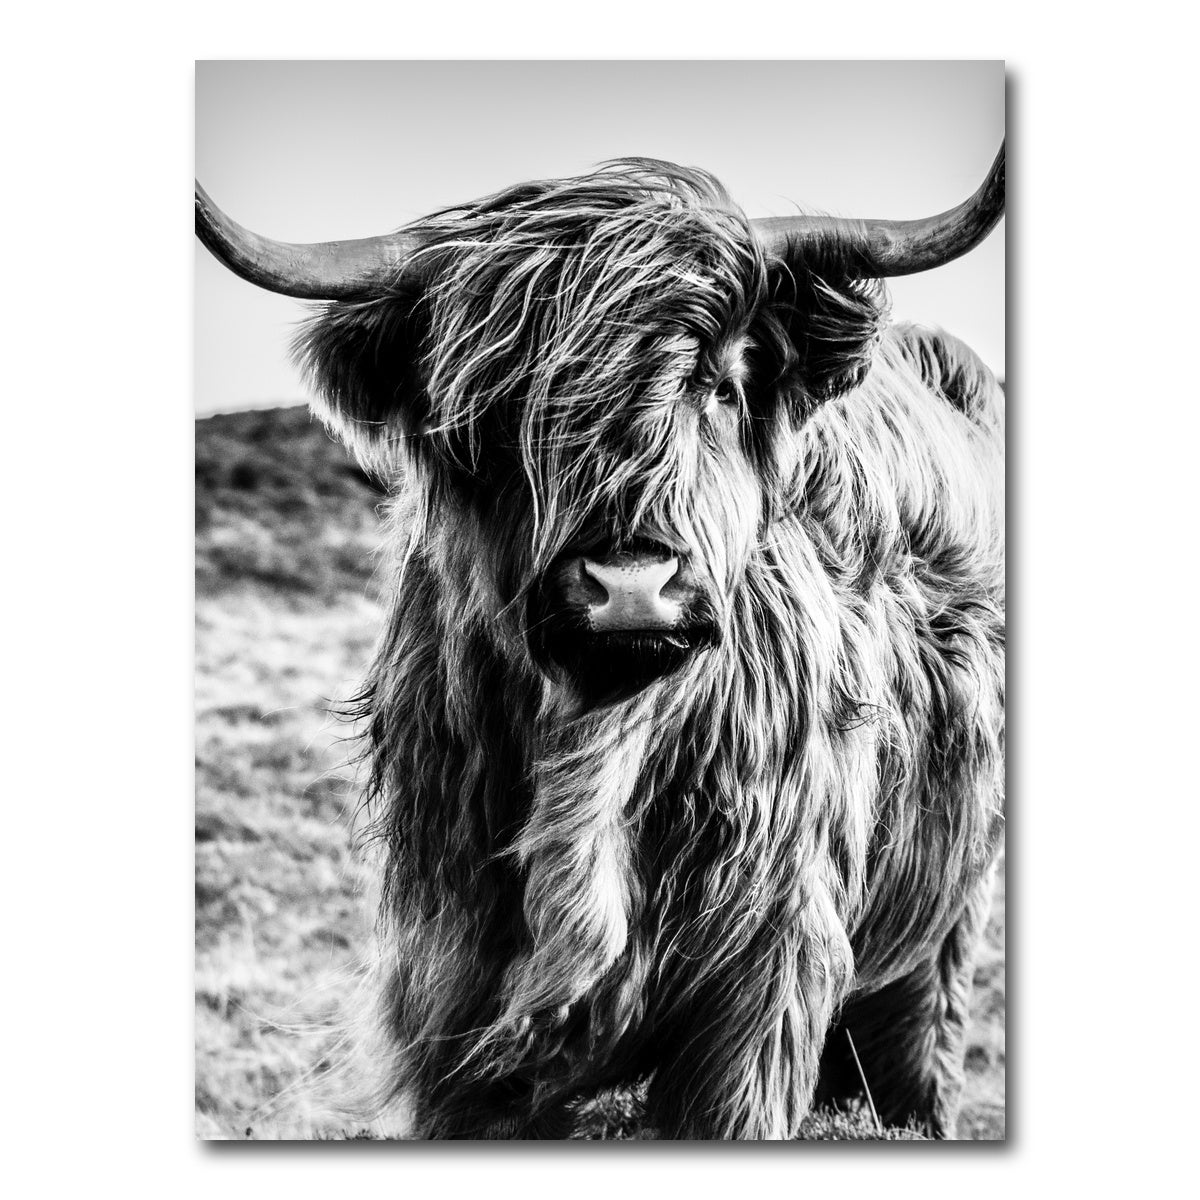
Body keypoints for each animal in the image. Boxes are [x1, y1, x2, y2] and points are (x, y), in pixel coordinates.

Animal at [196, 143, 1005, 1140]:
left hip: (945, 930)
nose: (631, 585)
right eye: (499, 410)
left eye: (719, 384)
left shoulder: (762, 984)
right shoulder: (452, 994)